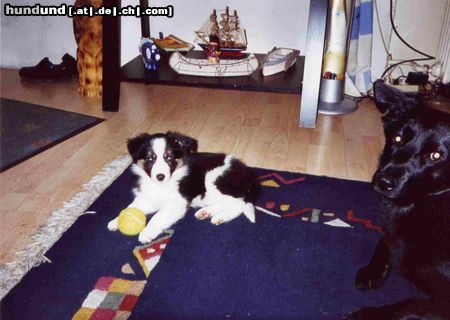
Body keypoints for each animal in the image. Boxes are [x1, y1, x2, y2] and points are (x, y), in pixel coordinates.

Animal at [107, 131, 258, 244]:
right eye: (150, 159)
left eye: (169, 158)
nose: (160, 176)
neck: (160, 186)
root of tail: (248, 174)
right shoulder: (147, 198)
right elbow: (130, 207)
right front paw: (116, 221)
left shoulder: (176, 203)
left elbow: (158, 216)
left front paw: (147, 233)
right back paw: (206, 212)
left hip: (213, 180)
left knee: (239, 204)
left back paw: (220, 217)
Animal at [346, 81, 448, 318]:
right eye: (397, 138)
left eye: (436, 156)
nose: (383, 182)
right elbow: (387, 239)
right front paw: (373, 271)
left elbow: (411, 303)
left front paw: (366, 314)